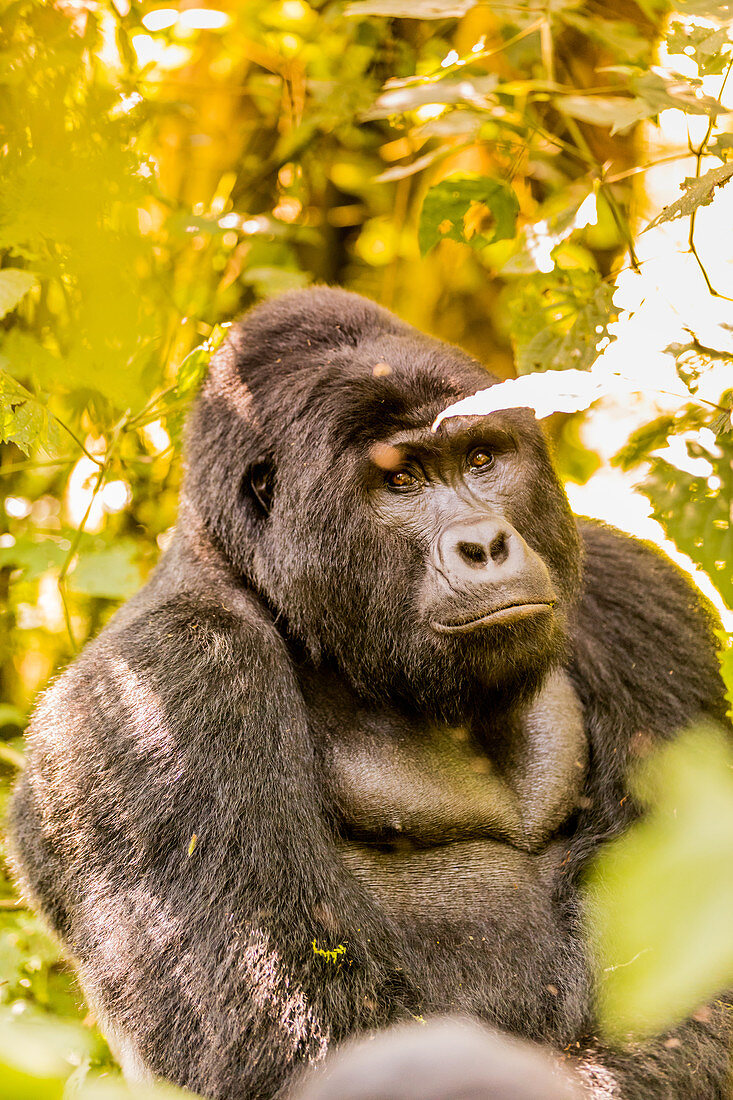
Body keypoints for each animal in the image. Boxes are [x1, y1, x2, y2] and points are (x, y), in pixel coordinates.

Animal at [7, 290, 730, 1100]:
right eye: (401, 481)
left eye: (482, 459)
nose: (485, 546)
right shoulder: (155, 695)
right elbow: (294, 1045)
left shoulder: (639, 599)